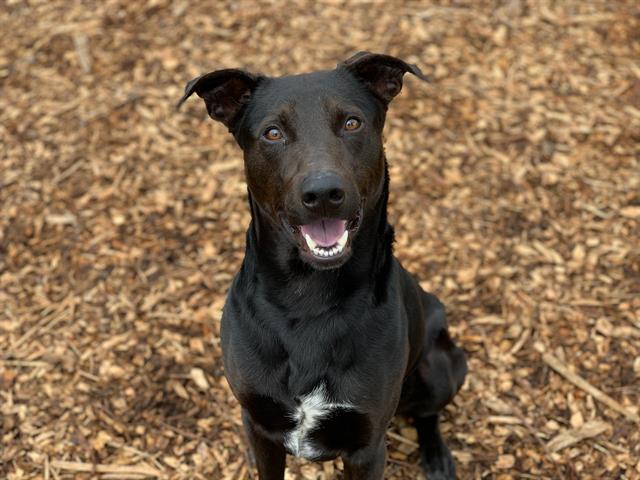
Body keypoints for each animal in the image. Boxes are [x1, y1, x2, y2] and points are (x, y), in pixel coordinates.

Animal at [179, 52, 464, 480]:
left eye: (352, 123)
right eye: (273, 133)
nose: (324, 193)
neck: (308, 296)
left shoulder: (366, 446)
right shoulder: (259, 426)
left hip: (441, 366)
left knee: (428, 414)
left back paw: (436, 455)